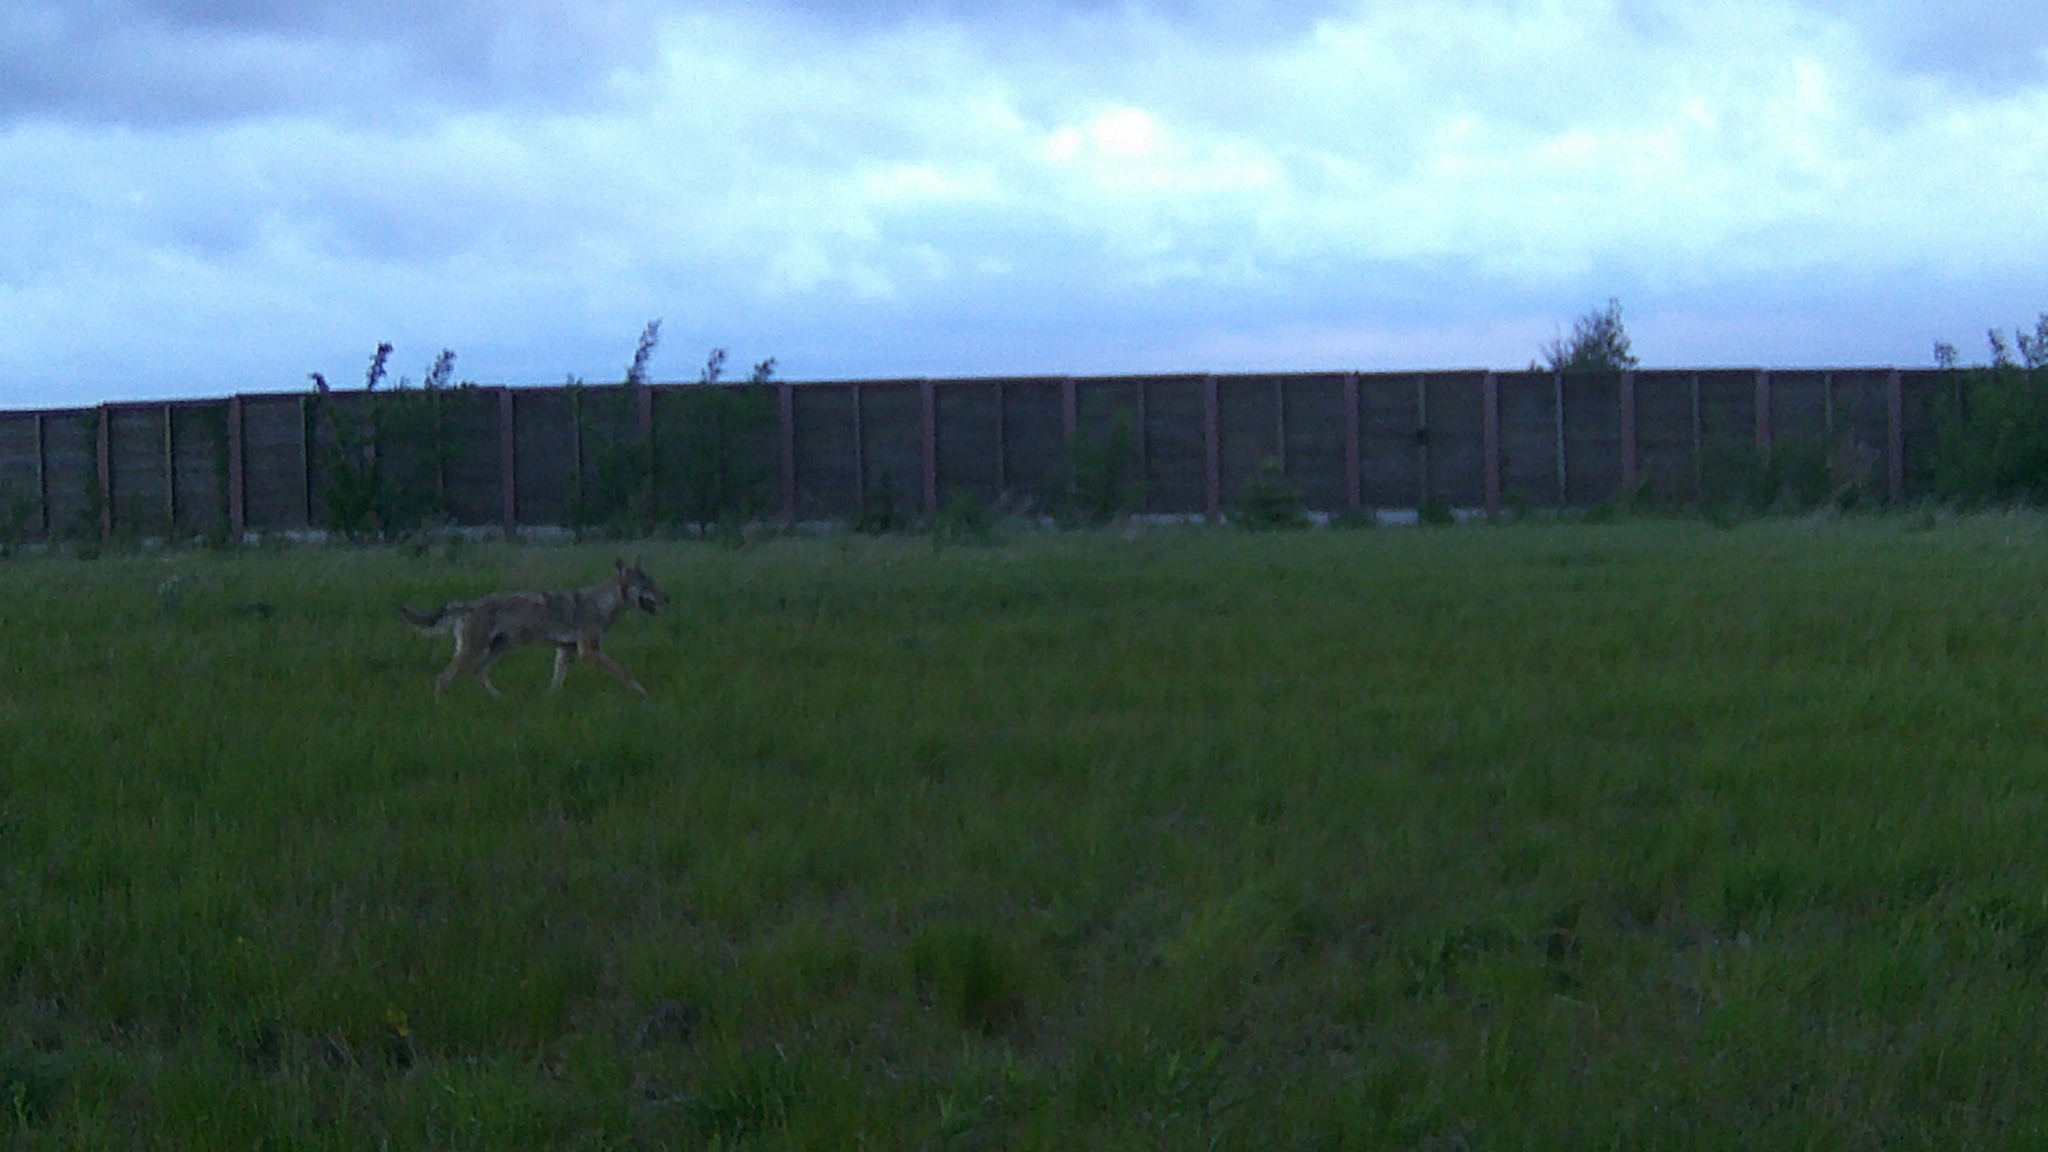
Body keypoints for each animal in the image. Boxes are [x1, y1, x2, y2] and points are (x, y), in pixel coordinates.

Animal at [391, 553, 663, 688]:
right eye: (647, 586)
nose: (667, 597)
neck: (601, 604)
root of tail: (467, 605)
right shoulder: (588, 652)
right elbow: (624, 671)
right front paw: (644, 695)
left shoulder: (565, 652)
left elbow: (555, 684)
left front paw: (548, 704)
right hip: (474, 651)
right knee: (443, 678)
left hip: (500, 647)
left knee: (479, 672)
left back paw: (501, 702)